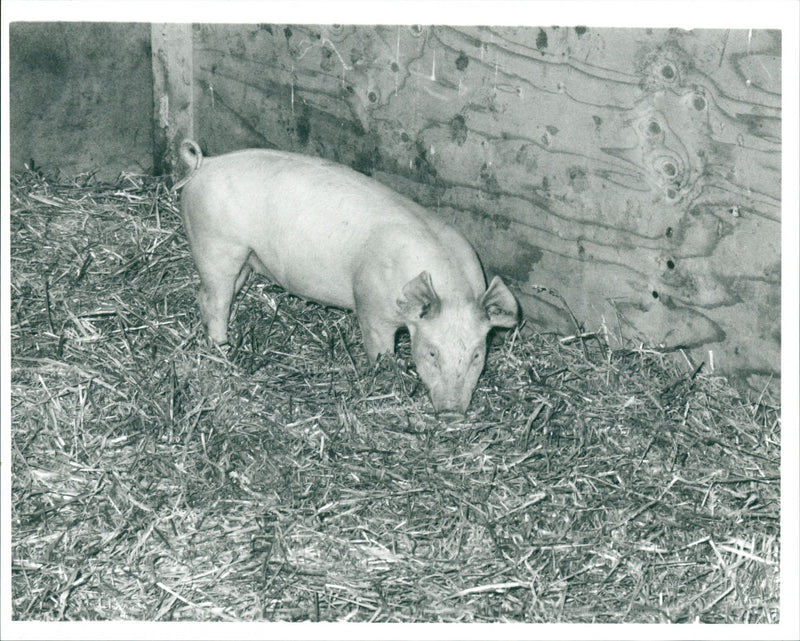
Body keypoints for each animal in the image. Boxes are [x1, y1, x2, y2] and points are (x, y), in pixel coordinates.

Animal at [177, 139, 520, 416]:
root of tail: (205, 163)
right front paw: (386, 374)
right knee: (215, 301)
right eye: (432, 352)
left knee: (209, 295)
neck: (450, 291)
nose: (452, 414)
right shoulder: (370, 305)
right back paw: (223, 350)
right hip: (216, 244)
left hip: (244, 258)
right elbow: (379, 349)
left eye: (477, 353)